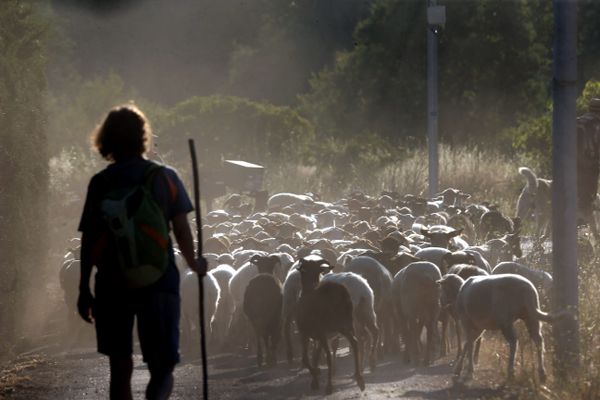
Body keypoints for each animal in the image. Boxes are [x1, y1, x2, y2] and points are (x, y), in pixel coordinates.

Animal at [294, 256, 364, 394]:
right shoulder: (321, 336)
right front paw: (314, 381)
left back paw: (329, 386)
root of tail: (339, 292)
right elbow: (315, 357)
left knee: (329, 357)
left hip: (331, 327)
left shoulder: (306, 333)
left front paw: (315, 377)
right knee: (355, 342)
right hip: (347, 324)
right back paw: (359, 379)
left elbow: (306, 358)